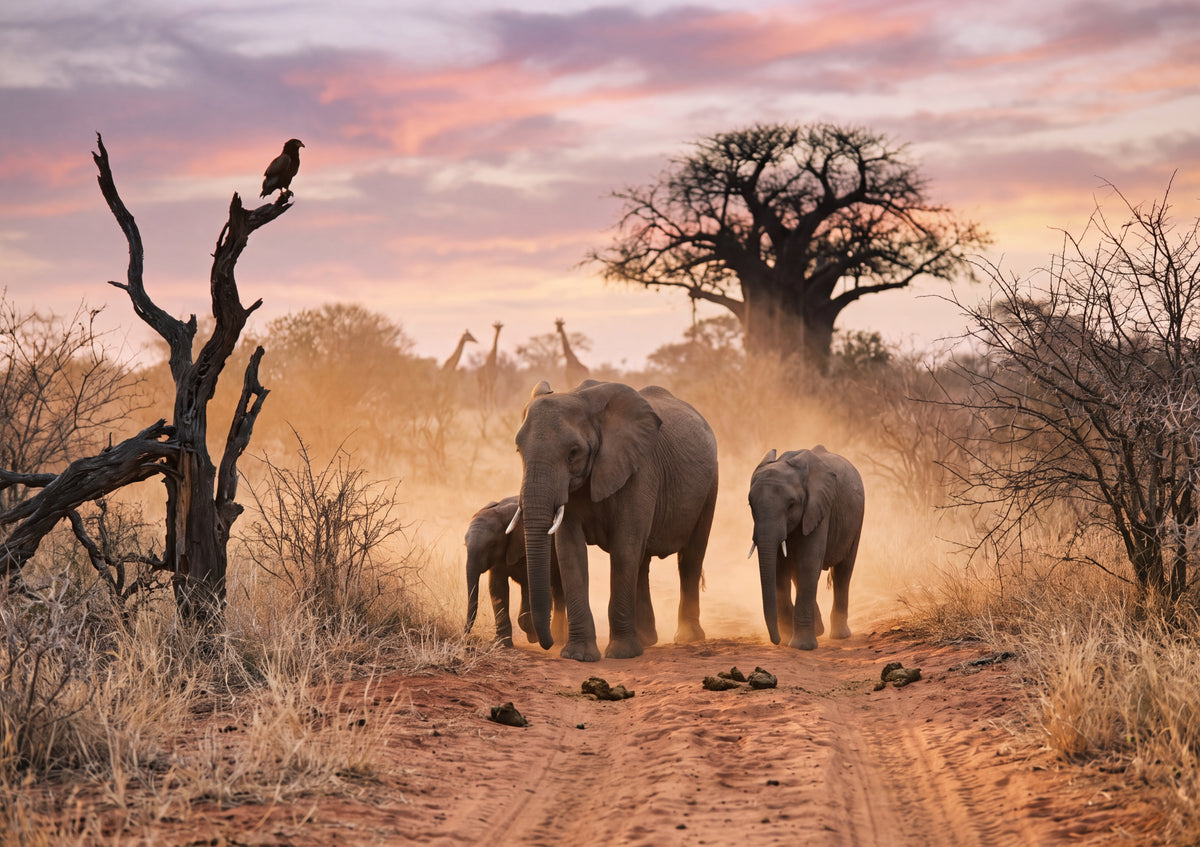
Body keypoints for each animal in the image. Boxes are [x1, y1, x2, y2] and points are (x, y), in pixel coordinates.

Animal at [464, 496, 566, 647]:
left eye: (492, 544)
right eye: (465, 545)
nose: (466, 638)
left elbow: (529, 586)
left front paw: (533, 636)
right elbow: (497, 587)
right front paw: (501, 643)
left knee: (560, 590)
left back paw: (558, 639)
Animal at [513, 379, 719, 661]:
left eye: (573, 452)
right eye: (518, 450)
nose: (542, 640)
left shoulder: (641, 469)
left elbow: (624, 546)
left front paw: (622, 654)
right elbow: (570, 551)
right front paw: (579, 656)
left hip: (710, 485)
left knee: (691, 557)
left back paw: (687, 638)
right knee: (642, 561)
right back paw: (647, 639)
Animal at [748, 446, 864, 650]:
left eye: (791, 505)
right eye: (750, 505)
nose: (776, 640)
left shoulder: (819, 509)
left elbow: (808, 563)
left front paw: (801, 646)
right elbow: (779, 569)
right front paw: (787, 639)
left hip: (856, 519)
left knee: (843, 572)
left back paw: (840, 635)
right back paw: (818, 631)